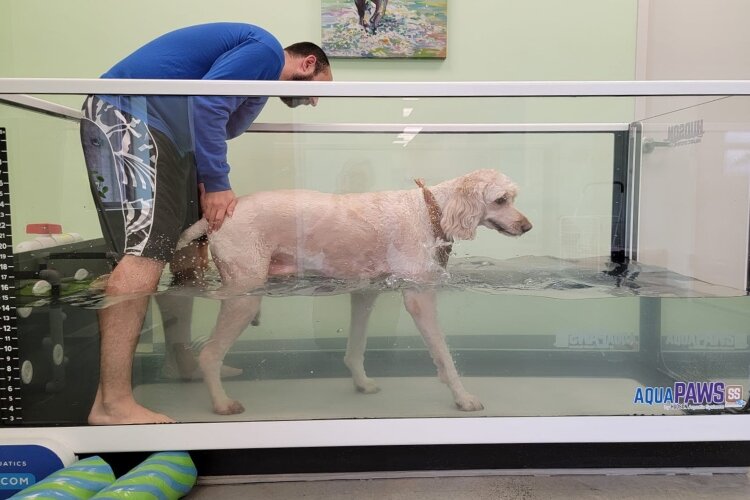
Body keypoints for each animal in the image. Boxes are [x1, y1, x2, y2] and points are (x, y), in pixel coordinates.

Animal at [179, 170, 536, 416]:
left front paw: (362, 383)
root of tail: (211, 221)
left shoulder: (365, 293)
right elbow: (444, 356)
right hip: (244, 297)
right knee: (209, 354)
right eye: (501, 200)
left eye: (513, 197)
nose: (528, 227)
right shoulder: (419, 296)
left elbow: (355, 348)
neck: (429, 210)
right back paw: (222, 403)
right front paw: (463, 397)